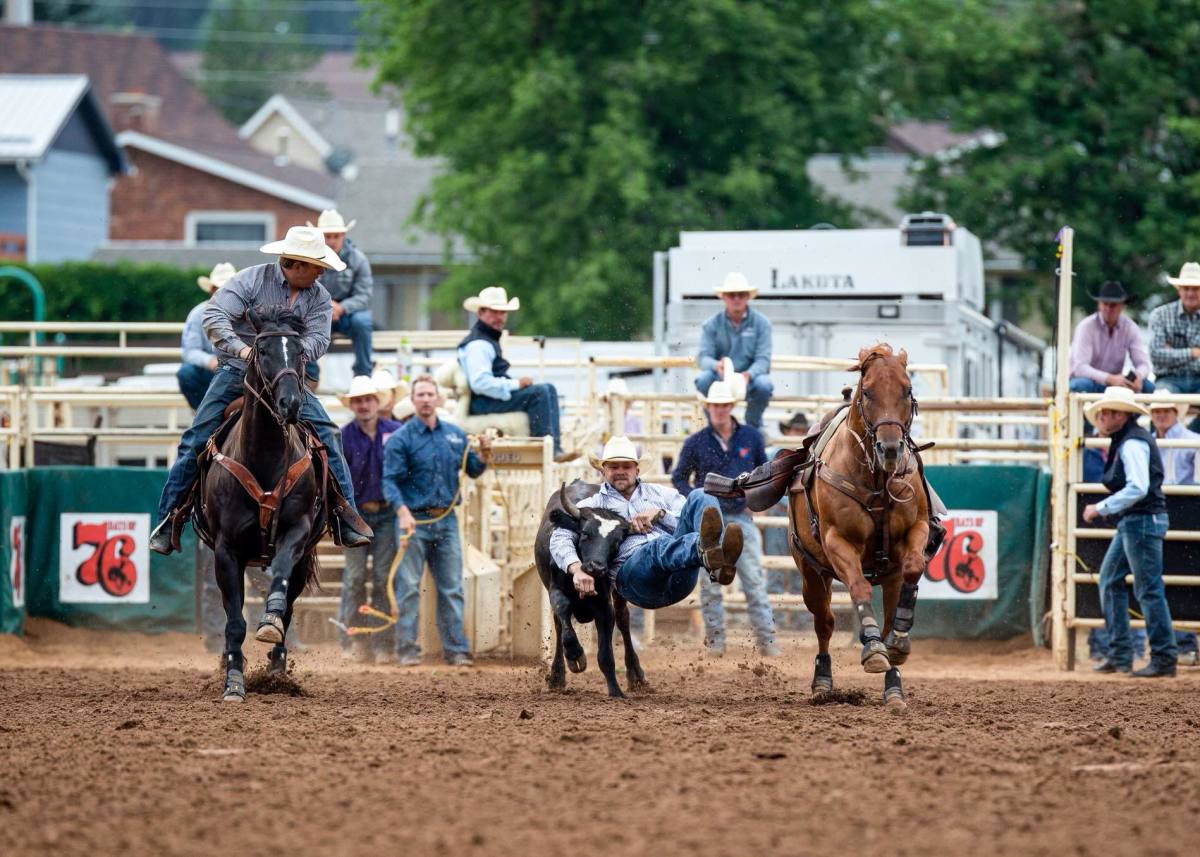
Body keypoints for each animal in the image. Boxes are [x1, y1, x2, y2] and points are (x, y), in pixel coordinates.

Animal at [196, 307, 328, 700]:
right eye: (263, 350)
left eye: (299, 352)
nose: (290, 404)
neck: (265, 457)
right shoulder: (226, 550)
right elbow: (234, 622)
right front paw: (234, 682)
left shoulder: (296, 531)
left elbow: (280, 582)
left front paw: (269, 623)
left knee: (290, 604)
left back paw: (277, 672)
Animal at [792, 343, 931, 705]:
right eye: (867, 392)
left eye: (907, 390)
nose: (891, 449)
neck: (877, 479)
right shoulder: (838, 541)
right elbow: (858, 587)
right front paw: (871, 650)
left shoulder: (917, 531)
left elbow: (913, 569)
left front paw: (898, 642)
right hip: (810, 574)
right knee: (824, 622)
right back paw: (822, 682)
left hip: (889, 577)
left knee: (887, 611)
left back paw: (894, 686)